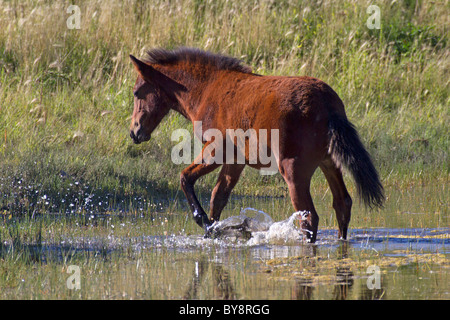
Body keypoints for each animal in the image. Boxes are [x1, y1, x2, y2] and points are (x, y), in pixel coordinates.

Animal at [129, 47, 384, 242]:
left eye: (137, 92)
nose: (134, 132)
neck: (206, 90)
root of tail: (327, 103)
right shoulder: (235, 161)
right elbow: (217, 197)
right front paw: (212, 233)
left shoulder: (215, 151)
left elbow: (185, 178)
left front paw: (205, 223)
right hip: (329, 163)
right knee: (342, 204)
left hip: (294, 170)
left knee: (310, 217)